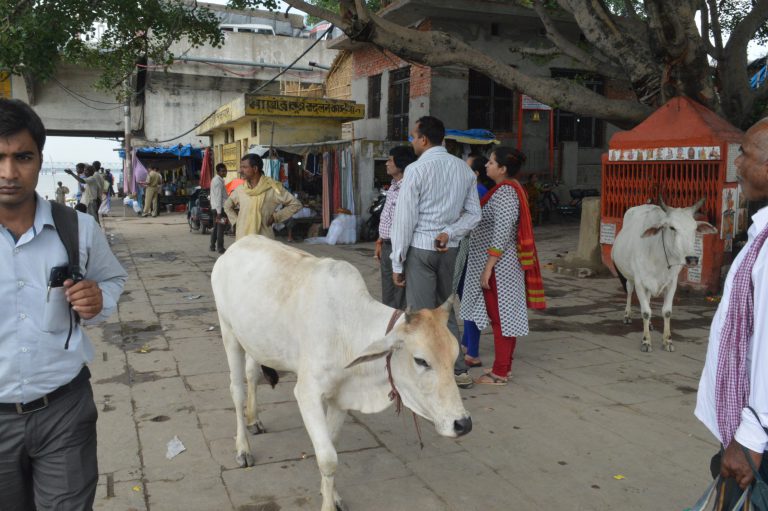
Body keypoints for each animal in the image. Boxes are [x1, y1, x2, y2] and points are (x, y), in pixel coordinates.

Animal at [211, 236, 472, 511]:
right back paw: (243, 449)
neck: (348, 330)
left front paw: (332, 495)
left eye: (455, 355)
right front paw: (328, 502)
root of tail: (237, 245)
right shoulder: (308, 394)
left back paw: (254, 419)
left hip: (255, 341)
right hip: (229, 332)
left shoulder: (341, 397)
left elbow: (332, 445)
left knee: (252, 374)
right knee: (236, 391)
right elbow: (328, 457)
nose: (463, 424)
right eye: (421, 360)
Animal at [611, 198, 717, 352]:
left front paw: (667, 341)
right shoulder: (640, 282)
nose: (692, 259)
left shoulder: (671, 283)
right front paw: (646, 341)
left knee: (648, 300)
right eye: (672, 228)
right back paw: (627, 315)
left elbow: (666, 312)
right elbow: (645, 312)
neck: (658, 254)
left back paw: (649, 325)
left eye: (694, 229)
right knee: (630, 292)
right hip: (630, 277)